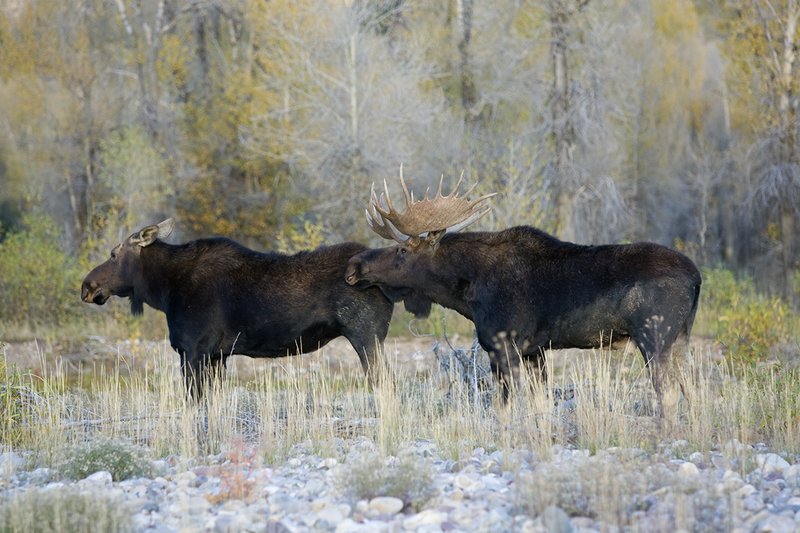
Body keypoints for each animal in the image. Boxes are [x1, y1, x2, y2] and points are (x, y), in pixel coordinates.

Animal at [81, 219, 394, 398]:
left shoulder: (193, 350)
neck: (164, 292)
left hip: (366, 335)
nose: (87, 286)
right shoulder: (217, 355)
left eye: (113, 254)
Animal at [344, 172, 702, 416]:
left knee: (669, 392)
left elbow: (503, 408)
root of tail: (697, 278)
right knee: (693, 388)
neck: (467, 291)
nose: (354, 265)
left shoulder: (503, 344)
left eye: (402, 250)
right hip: (681, 337)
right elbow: (540, 405)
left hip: (655, 335)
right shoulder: (535, 351)